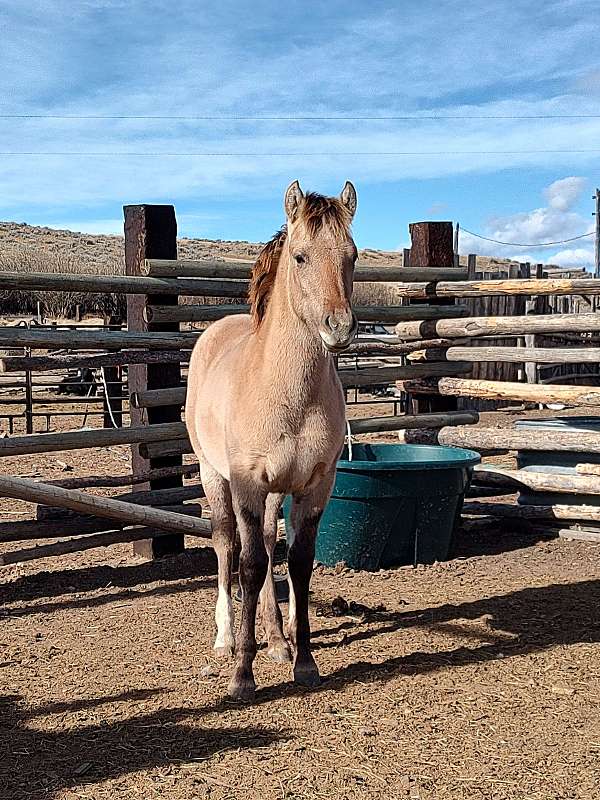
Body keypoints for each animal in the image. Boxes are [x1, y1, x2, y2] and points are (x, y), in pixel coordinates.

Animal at [186, 181, 356, 700]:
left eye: (352, 256)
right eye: (300, 257)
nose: (339, 327)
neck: (286, 390)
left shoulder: (314, 485)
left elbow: (297, 565)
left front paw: (304, 660)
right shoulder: (246, 483)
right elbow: (250, 565)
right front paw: (243, 674)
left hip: (275, 492)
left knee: (263, 541)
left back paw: (277, 638)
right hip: (214, 476)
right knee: (228, 545)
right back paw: (225, 638)